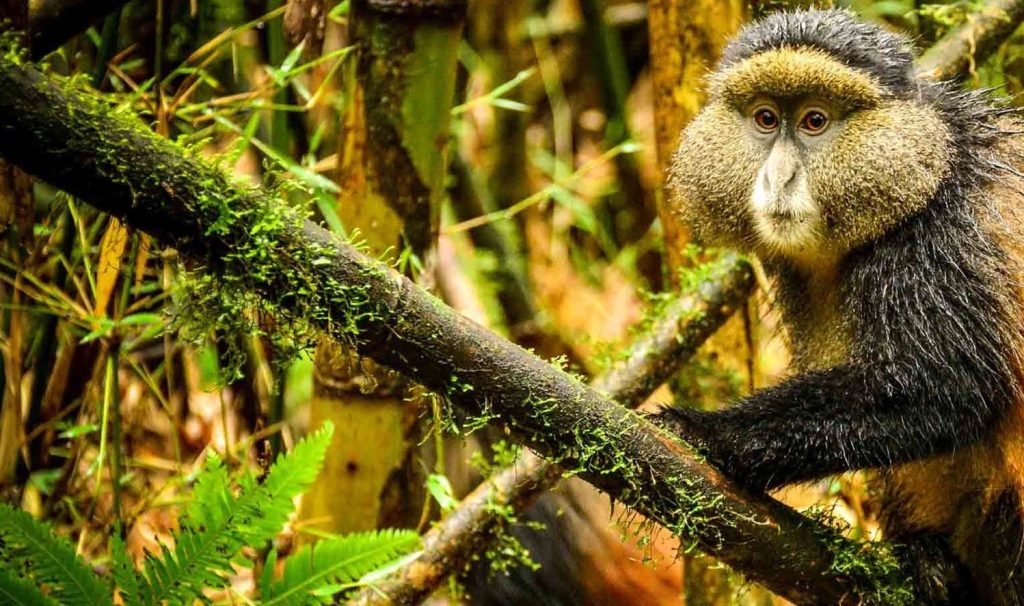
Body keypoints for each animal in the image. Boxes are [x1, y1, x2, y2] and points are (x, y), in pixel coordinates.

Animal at [658, 9, 1024, 604]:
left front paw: (705, 433)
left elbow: (949, 387)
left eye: (814, 121)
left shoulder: (941, 240)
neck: (932, 163)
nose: (778, 177)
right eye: (765, 119)